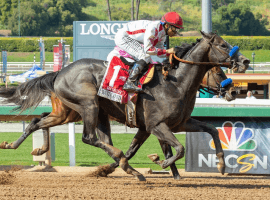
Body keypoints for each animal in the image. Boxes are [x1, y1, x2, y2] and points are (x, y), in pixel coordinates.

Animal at [0, 31, 249, 181]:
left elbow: (212, 130)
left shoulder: (175, 124)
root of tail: (60, 72)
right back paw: (128, 167)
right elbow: (177, 149)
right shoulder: (156, 125)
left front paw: (221, 165)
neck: (175, 83)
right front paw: (162, 163)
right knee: (89, 137)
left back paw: (21, 146)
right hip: (88, 105)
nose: (232, 90)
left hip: (70, 113)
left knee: (38, 120)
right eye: (223, 45)